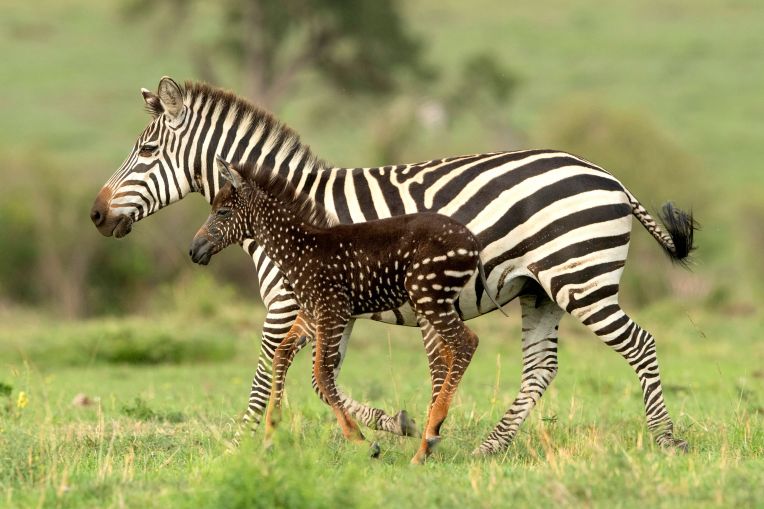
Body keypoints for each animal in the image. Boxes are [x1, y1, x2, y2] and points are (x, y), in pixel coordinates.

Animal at [189, 157, 507, 463]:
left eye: (223, 212)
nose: (194, 250)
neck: (299, 248)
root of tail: (472, 240)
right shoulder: (311, 314)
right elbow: (282, 355)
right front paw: (270, 435)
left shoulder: (333, 311)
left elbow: (322, 374)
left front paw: (361, 441)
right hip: (434, 301)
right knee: (454, 350)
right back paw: (428, 440)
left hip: (429, 296)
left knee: (466, 342)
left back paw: (427, 440)